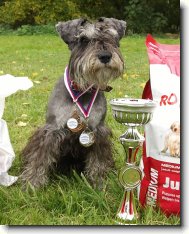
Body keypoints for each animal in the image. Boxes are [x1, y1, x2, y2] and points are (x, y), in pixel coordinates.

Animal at [20, 17, 126, 188]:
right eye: (84, 40)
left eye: (112, 38)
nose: (105, 56)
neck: (81, 89)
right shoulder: (52, 129)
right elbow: (39, 158)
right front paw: (32, 183)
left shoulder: (97, 131)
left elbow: (99, 160)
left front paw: (98, 181)